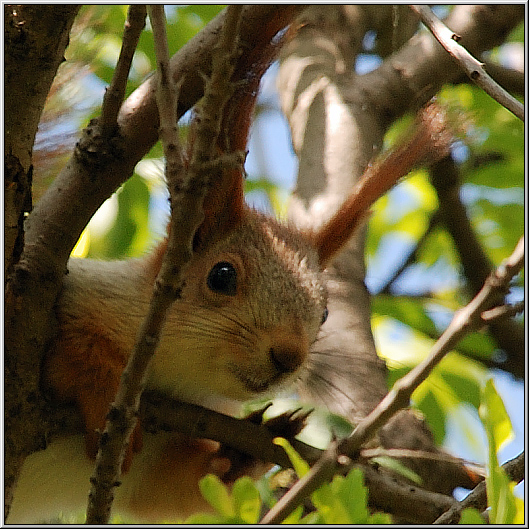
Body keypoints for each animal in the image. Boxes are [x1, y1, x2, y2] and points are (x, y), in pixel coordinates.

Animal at [6, 12, 454, 524]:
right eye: (221, 276)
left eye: (324, 312)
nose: (289, 356)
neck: (174, 376)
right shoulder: (72, 300)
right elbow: (72, 350)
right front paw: (102, 389)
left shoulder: (157, 457)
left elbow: (175, 488)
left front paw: (243, 451)